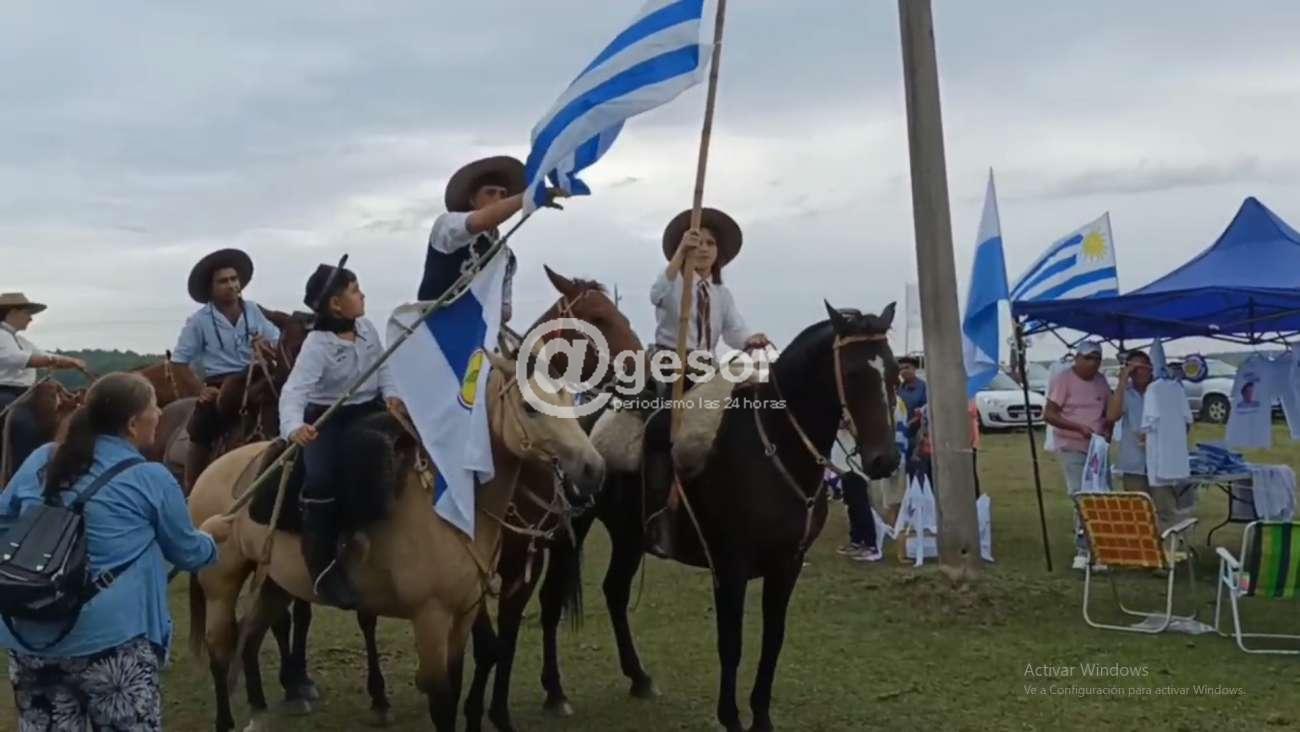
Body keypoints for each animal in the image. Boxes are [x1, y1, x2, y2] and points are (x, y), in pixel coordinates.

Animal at [188, 349, 607, 732]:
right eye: (528, 406)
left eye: (570, 399)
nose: (593, 468)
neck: (452, 506)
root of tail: (211, 472)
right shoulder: (431, 617)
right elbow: (442, 701)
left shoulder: (464, 614)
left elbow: (460, 680)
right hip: (221, 585)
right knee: (220, 650)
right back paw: (227, 720)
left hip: (275, 583)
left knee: (249, 634)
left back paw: (259, 712)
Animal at [534, 303, 901, 732]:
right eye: (854, 373)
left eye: (894, 372)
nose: (885, 460)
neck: (773, 447)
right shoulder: (730, 566)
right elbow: (732, 643)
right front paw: (731, 717)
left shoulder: (787, 565)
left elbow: (773, 640)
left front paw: (761, 718)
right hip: (569, 530)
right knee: (550, 598)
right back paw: (555, 692)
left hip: (629, 535)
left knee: (615, 591)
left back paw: (639, 678)